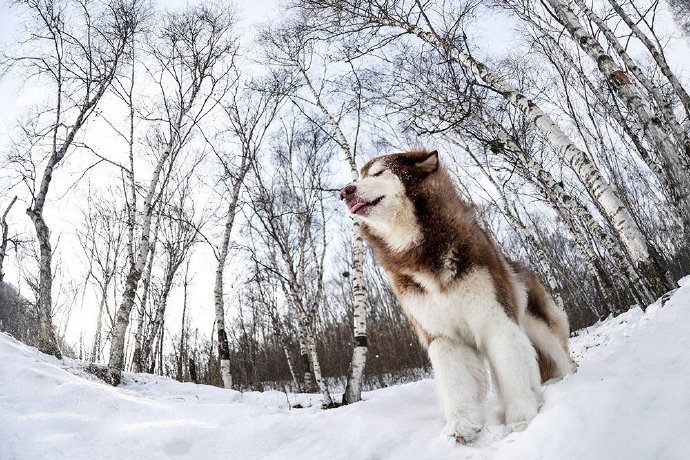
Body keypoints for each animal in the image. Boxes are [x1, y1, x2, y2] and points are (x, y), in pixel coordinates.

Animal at [340, 150, 576, 442]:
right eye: (357, 176)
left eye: (378, 173)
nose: (344, 192)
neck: (418, 250)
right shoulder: (443, 336)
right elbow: (455, 383)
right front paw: (463, 425)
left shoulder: (496, 321)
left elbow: (512, 373)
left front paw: (521, 420)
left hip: (541, 329)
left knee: (561, 356)